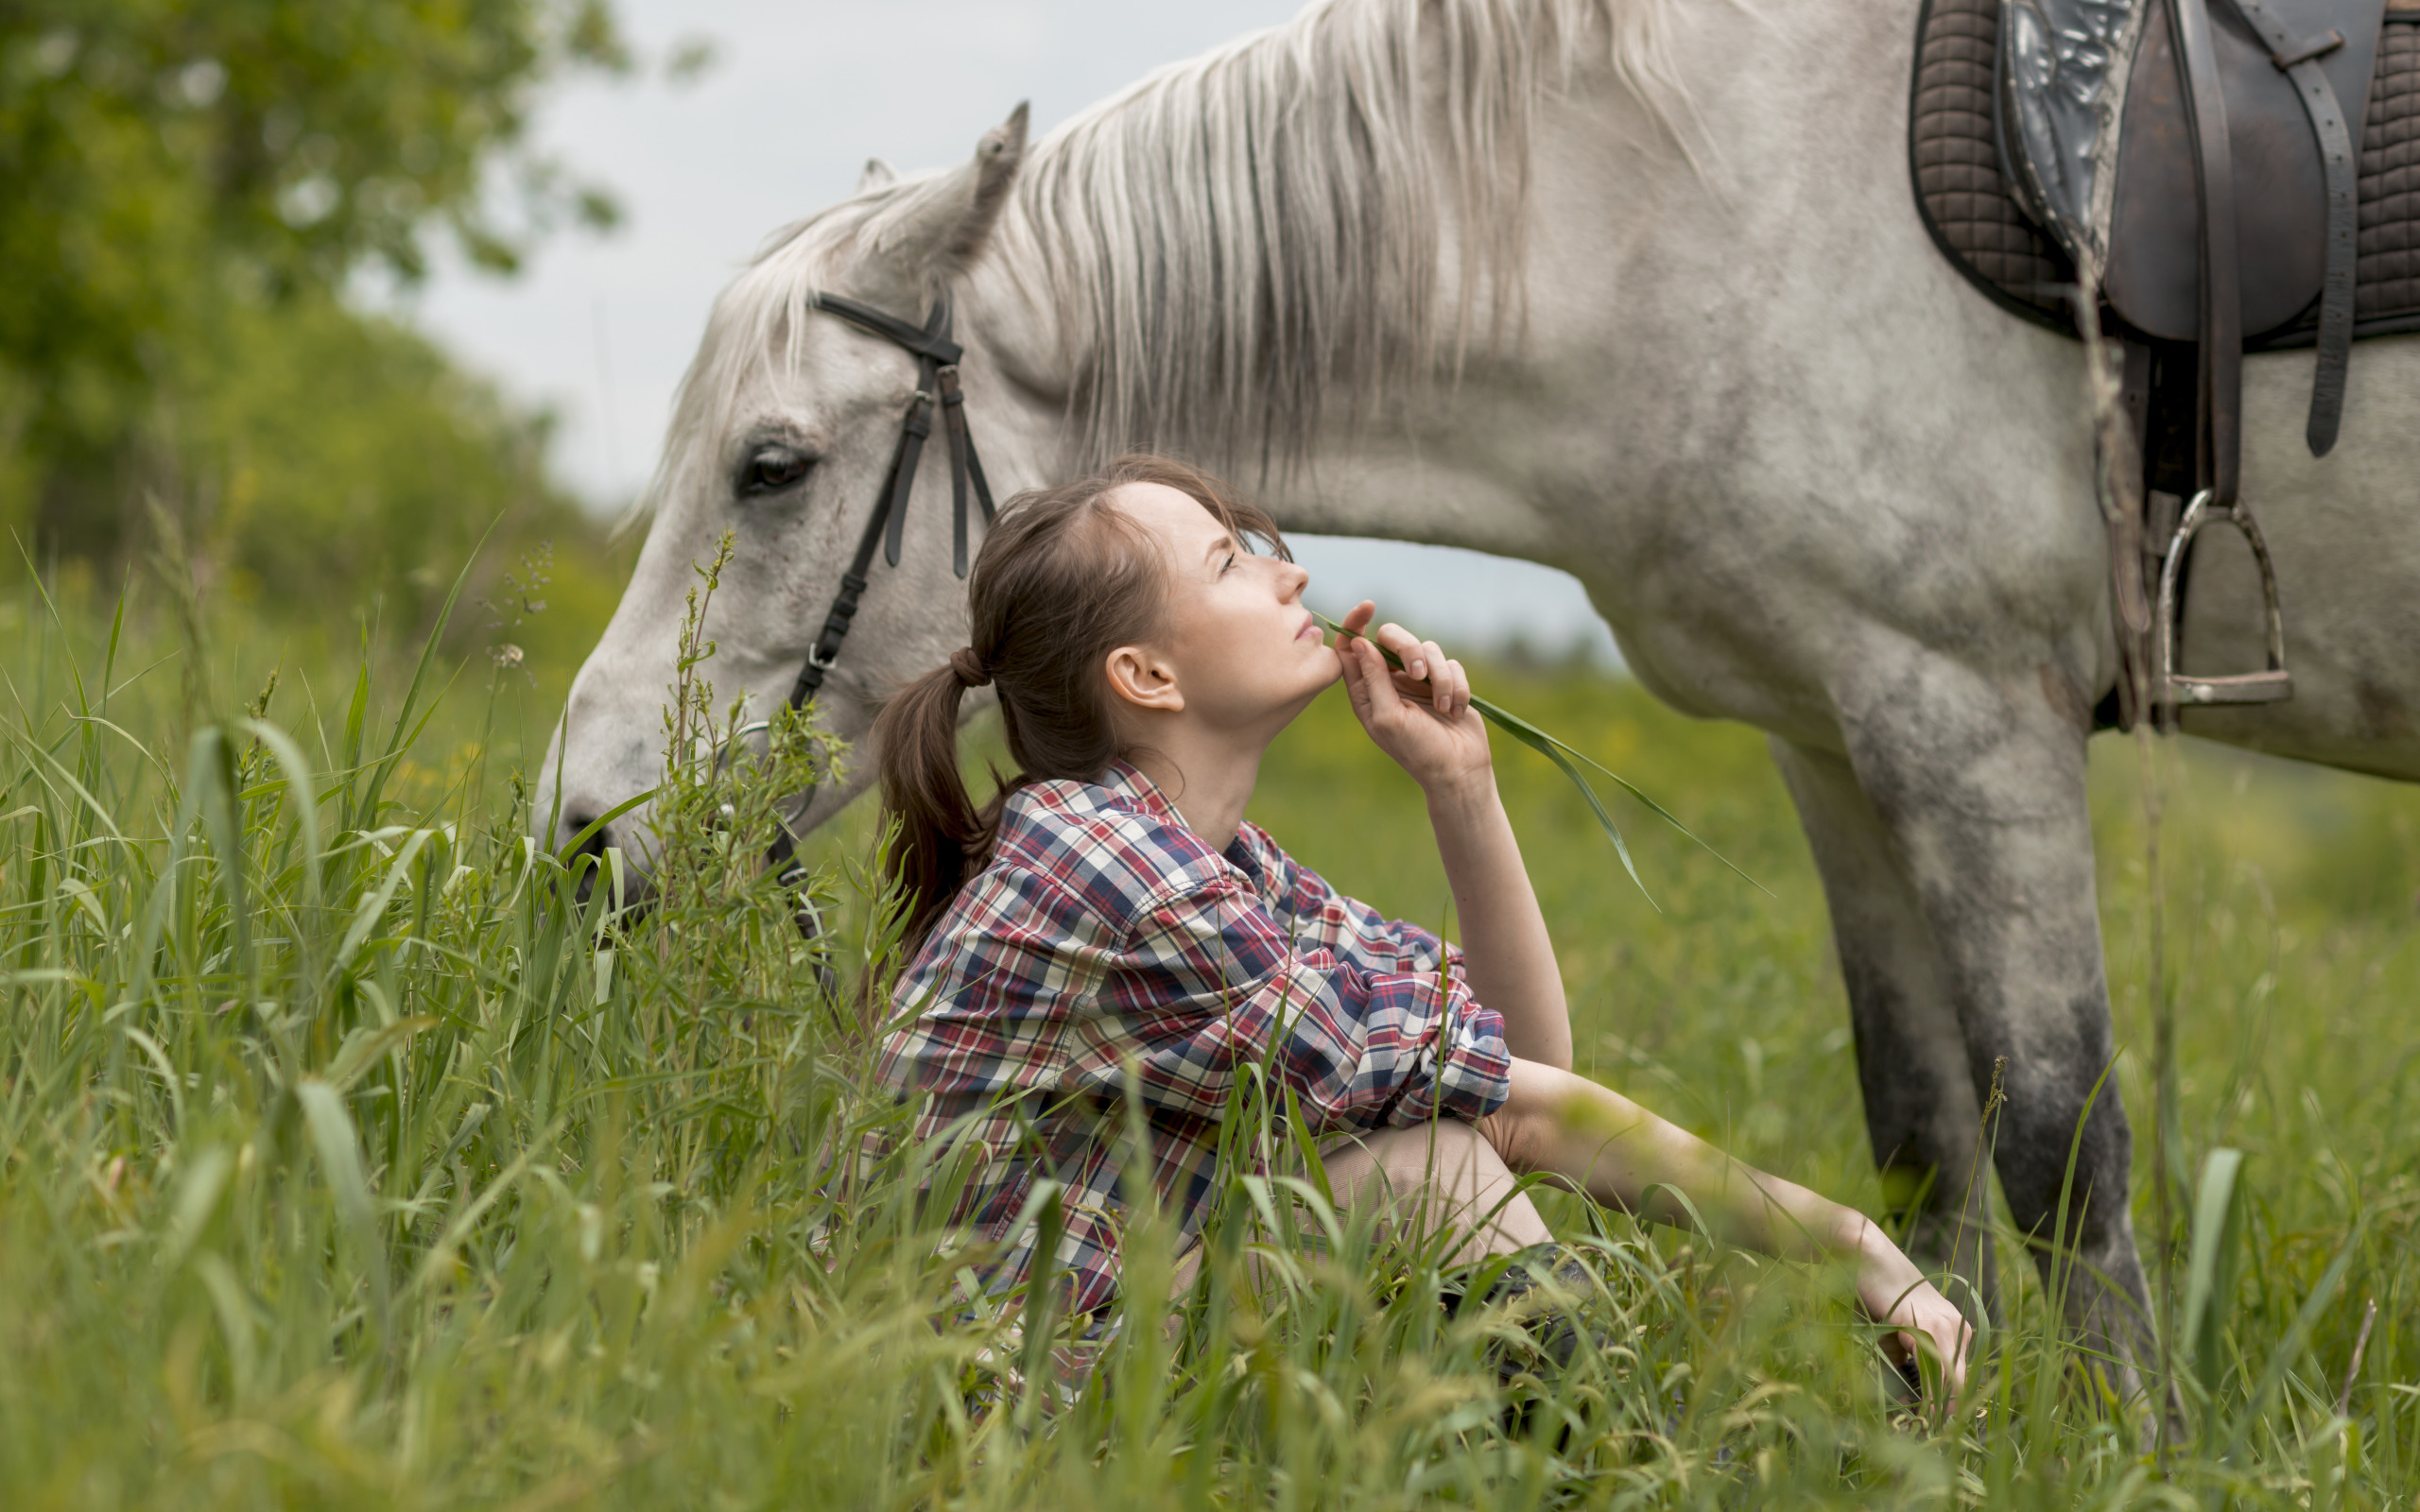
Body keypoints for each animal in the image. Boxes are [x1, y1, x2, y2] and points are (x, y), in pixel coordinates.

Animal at [549, 0, 2420, 1393]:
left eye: (773, 465)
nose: (584, 830)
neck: (1695, 196)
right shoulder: (1842, 731)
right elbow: (1922, 1139)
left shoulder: (1972, 714)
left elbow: (2058, 1145)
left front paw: (2113, 1439)